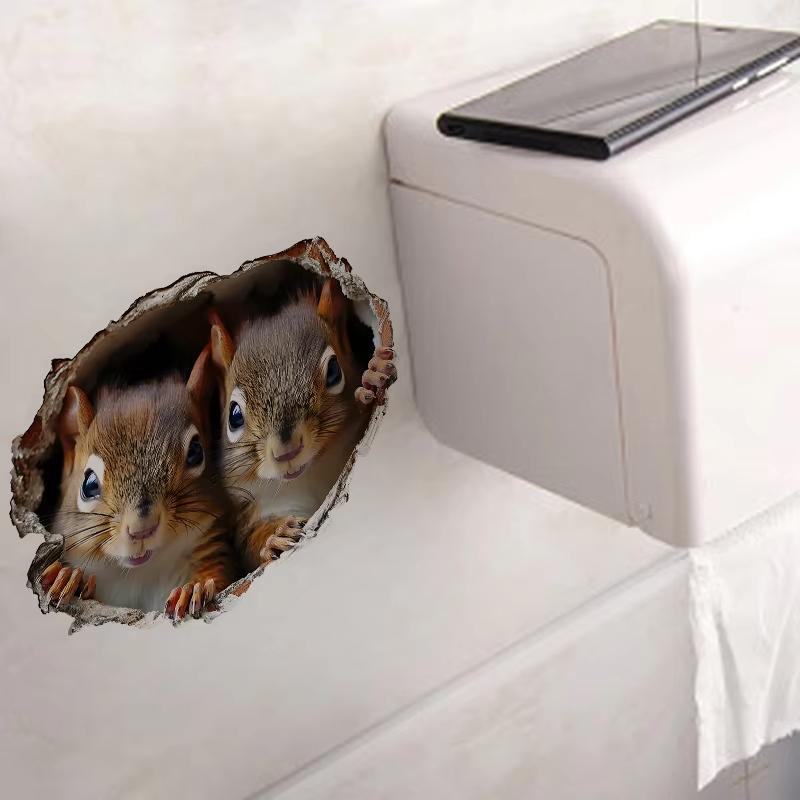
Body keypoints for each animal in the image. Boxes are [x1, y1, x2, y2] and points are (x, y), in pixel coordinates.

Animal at [42, 346, 239, 621]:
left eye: (195, 452)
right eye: (88, 484)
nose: (141, 529)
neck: (141, 573)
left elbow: (220, 575)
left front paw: (194, 589)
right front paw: (68, 577)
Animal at [209, 276, 396, 572]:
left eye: (334, 371)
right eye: (234, 415)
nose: (286, 452)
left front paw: (374, 373)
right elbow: (250, 544)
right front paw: (274, 537)